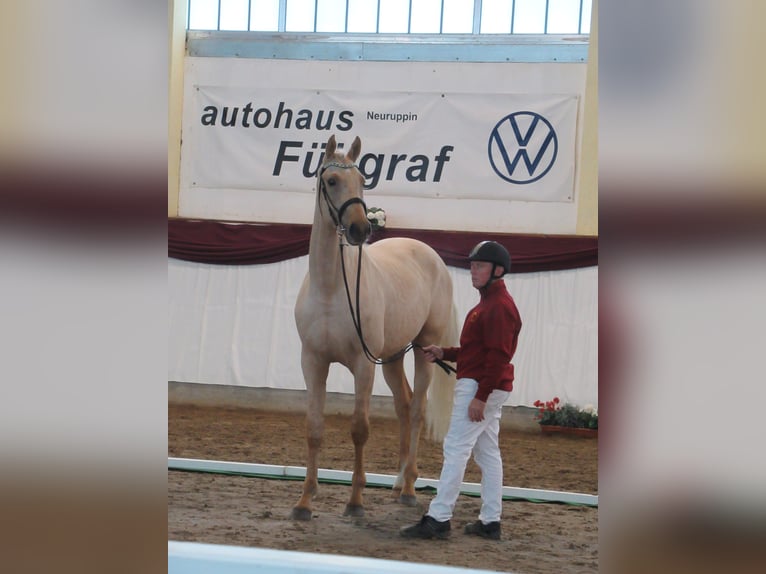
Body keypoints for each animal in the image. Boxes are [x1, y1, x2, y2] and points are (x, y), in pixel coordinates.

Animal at [292, 134, 458, 521]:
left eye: (362, 180)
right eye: (331, 180)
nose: (360, 229)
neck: (331, 289)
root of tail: (430, 255)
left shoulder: (363, 365)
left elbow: (359, 429)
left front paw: (355, 501)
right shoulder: (312, 362)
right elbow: (313, 428)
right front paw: (305, 502)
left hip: (424, 351)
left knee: (417, 409)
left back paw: (409, 489)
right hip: (393, 357)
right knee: (404, 405)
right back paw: (397, 484)